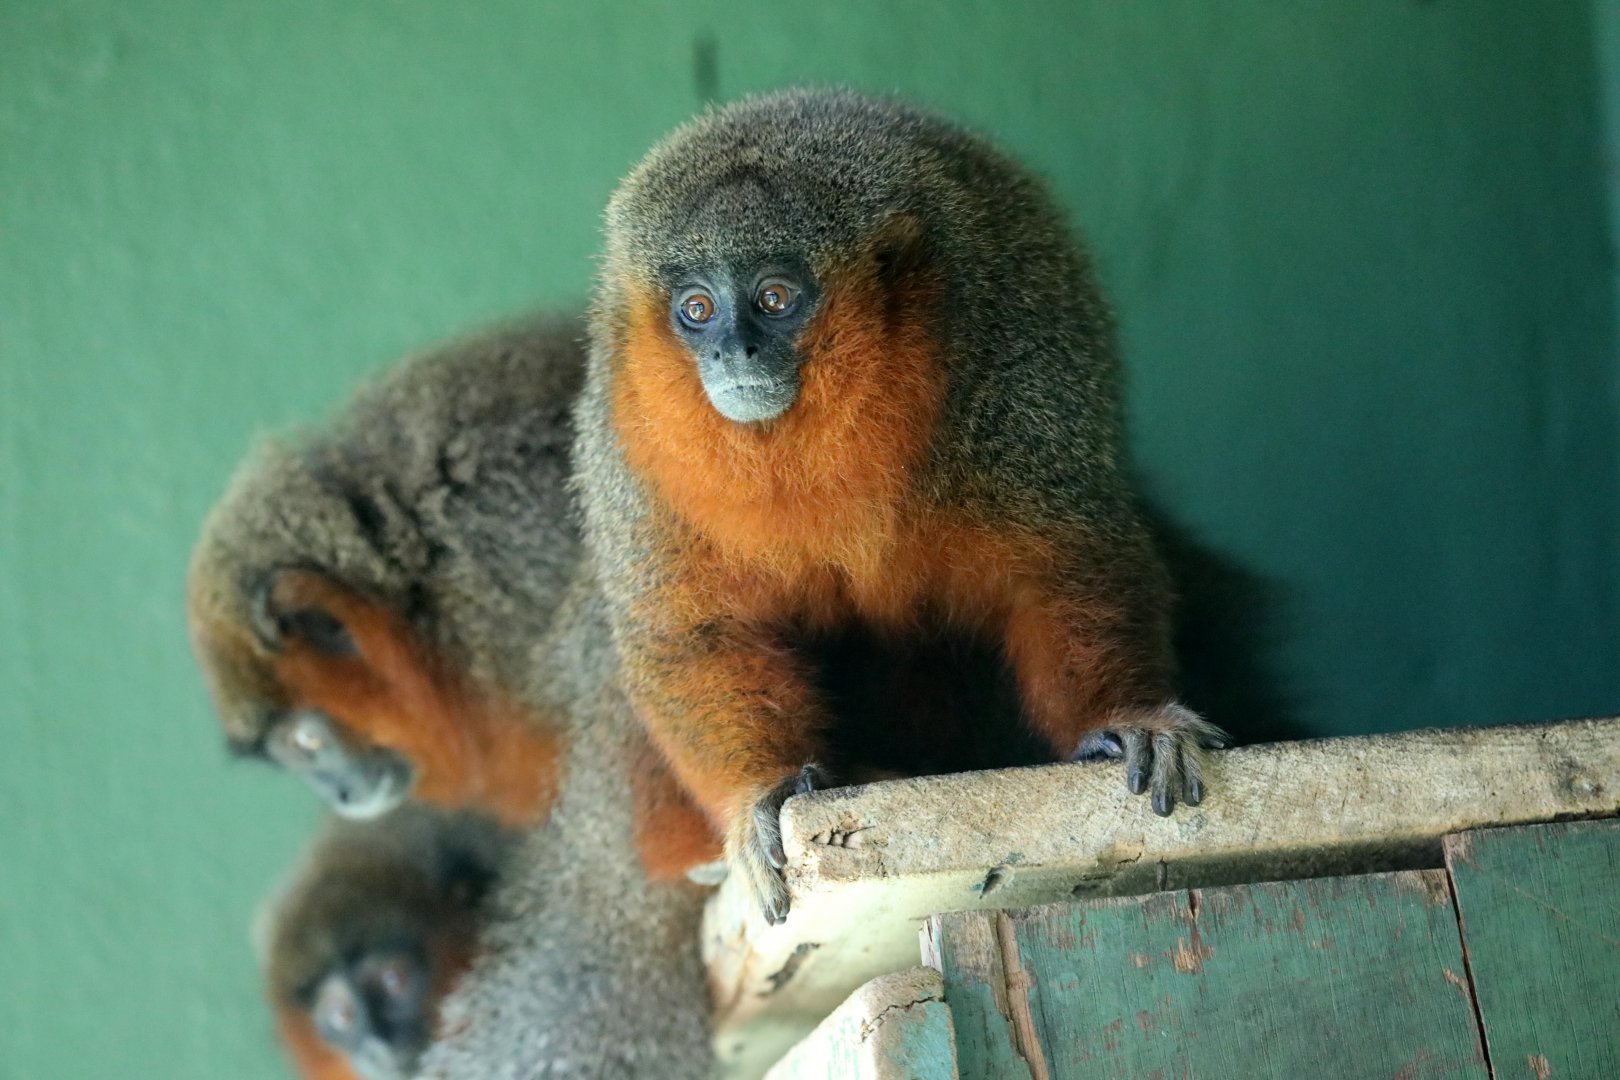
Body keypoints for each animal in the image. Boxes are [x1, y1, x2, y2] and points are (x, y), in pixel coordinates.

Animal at [575, 88, 1230, 923]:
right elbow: (696, 635)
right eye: (696, 308)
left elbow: (1067, 559)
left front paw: (1127, 717)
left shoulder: (1009, 370)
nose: (732, 350)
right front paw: (761, 798)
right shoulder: (629, 445)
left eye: (774, 298)